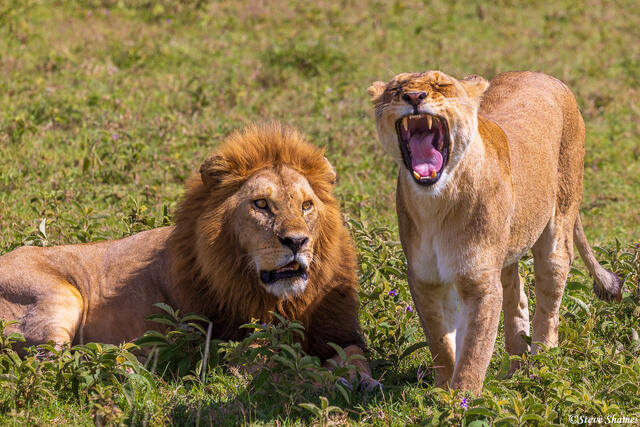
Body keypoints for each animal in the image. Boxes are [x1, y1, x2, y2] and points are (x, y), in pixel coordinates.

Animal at [0, 123, 377, 389]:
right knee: (52, 367)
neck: (284, 301)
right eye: (261, 204)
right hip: (60, 298)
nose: (297, 241)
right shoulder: (236, 349)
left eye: (306, 206)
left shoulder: (336, 331)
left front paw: (363, 380)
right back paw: (121, 367)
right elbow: (294, 371)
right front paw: (327, 381)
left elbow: (355, 355)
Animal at [367, 71, 622, 394]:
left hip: (558, 224)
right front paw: (442, 389)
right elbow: (440, 341)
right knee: (517, 293)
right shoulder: (425, 280)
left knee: (549, 302)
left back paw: (540, 366)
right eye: (396, 88)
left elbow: (474, 350)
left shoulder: (479, 284)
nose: (414, 97)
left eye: (441, 85)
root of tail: (545, 75)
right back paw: (514, 364)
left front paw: (461, 398)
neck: (437, 201)